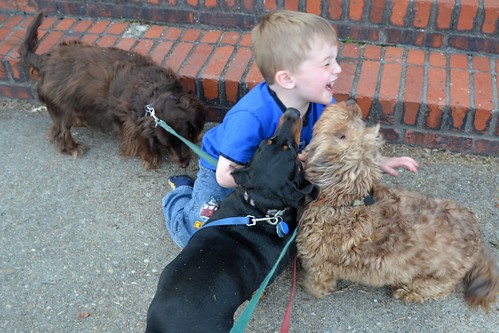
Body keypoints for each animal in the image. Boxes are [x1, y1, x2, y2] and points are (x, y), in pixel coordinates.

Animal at [17, 12, 205, 169]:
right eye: (165, 144)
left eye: (187, 135)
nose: (184, 164)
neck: (155, 93)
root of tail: (43, 60)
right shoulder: (132, 125)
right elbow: (142, 143)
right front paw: (151, 159)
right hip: (59, 106)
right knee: (60, 132)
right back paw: (73, 147)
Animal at [298, 100, 498, 308]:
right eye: (346, 132)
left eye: (341, 135)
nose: (351, 103)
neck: (344, 202)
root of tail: (478, 240)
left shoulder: (319, 265)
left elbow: (317, 284)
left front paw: (307, 287)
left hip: (438, 277)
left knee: (435, 288)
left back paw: (406, 292)